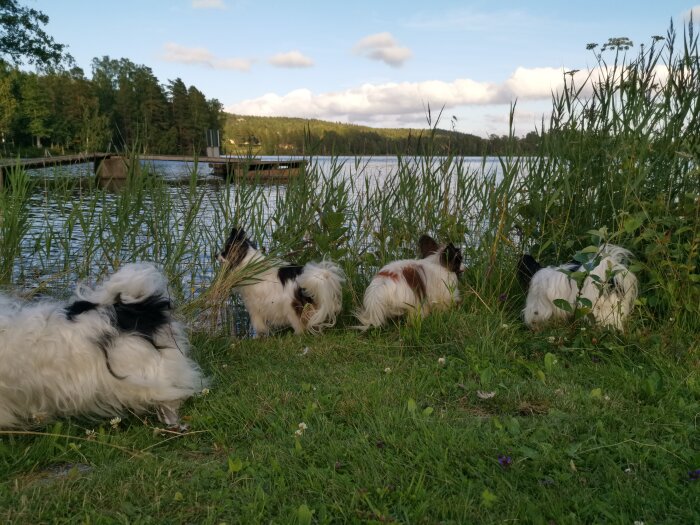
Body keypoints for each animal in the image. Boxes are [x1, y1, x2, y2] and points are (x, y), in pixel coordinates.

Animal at [217, 226, 346, 336]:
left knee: (300, 327)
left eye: (224, 252)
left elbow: (258, 325)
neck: (248, 262)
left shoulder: (254, 307)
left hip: (291, 308)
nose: (215, 255)